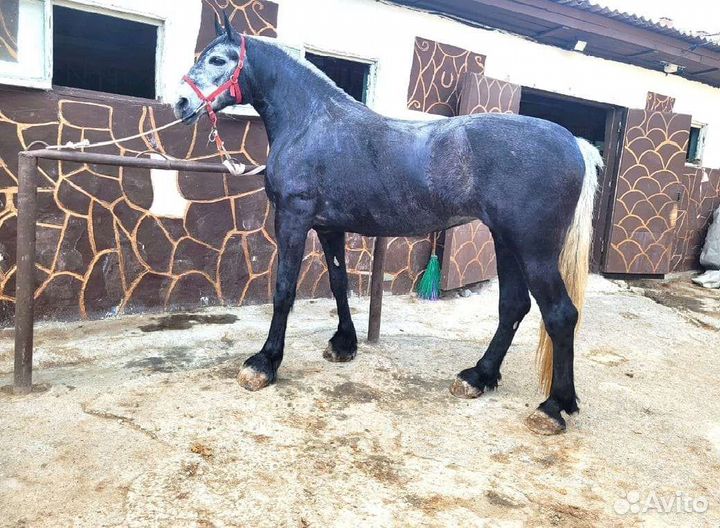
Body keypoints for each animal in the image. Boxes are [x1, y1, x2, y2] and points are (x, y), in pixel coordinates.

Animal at [174, 16, 602, 435]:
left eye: (218, 60)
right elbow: (339, 282)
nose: (181, 103)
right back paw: (478, 377)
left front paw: (264, 363)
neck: (311, 123)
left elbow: (283, 291)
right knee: (513, 305)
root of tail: (575, 143)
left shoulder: (293, 219)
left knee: (560, 314)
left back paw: (553, 407)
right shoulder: (328, 227)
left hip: (534, 250)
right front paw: (343, 344)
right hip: (505, 241)